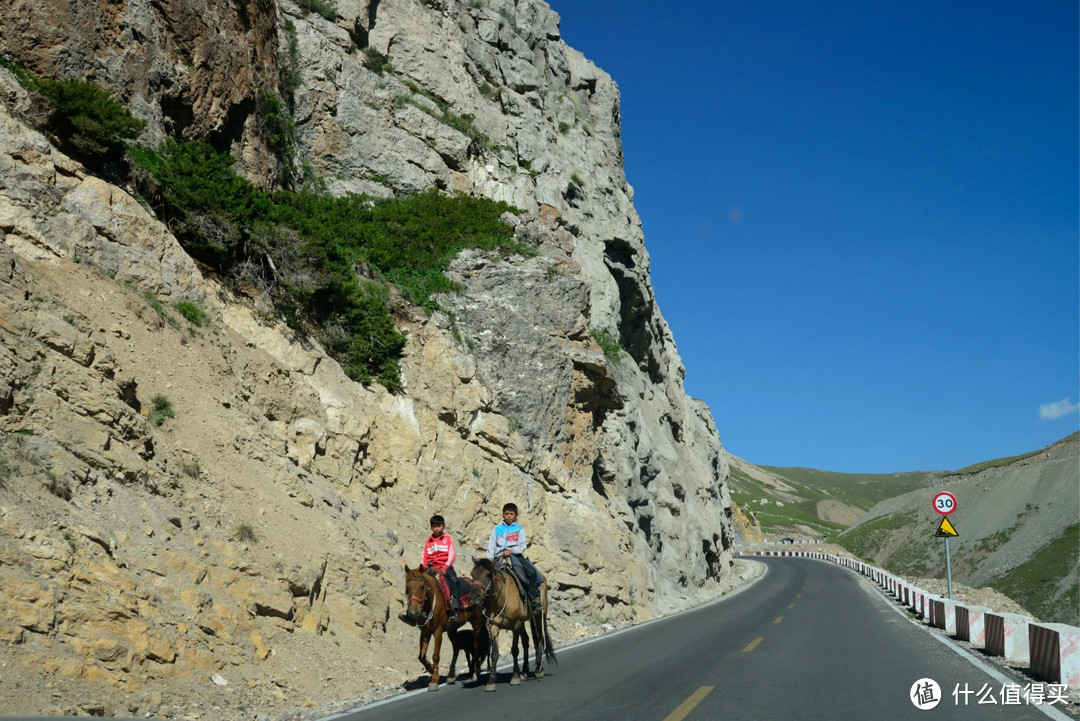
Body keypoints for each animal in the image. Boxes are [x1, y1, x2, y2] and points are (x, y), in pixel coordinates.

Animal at [468, 556, 557, 690]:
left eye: (488, 574)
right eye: (472, 574)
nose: (473, 598)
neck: (501, 599)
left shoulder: (515, 625)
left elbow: (515, 649)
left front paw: (515, 677)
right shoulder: (494, 626)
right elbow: (495, 653)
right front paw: (491, 681)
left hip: (538, 616)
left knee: (539, 638)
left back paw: (538, 669)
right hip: (524, 622)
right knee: (526, 640)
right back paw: (524, 671)